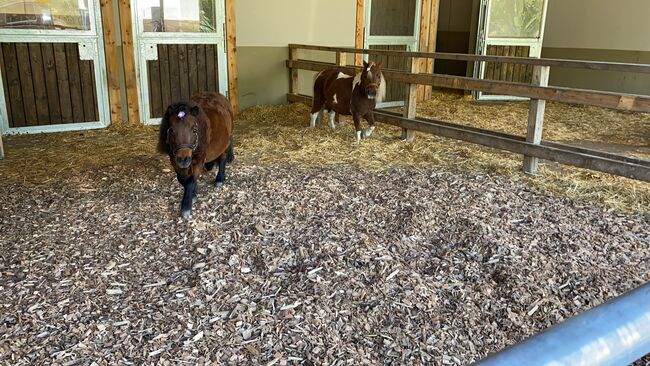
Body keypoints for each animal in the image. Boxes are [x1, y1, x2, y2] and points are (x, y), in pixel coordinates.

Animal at [158, 91, 234, 219]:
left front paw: (186, 207)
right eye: (171, 130)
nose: (183, 159)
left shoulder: (199, 158)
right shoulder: (174, 160)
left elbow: (191, 181)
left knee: (222, 158)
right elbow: (182, 179)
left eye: (194, 130)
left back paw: (220, 179)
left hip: (225, 142)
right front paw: (193, 195)